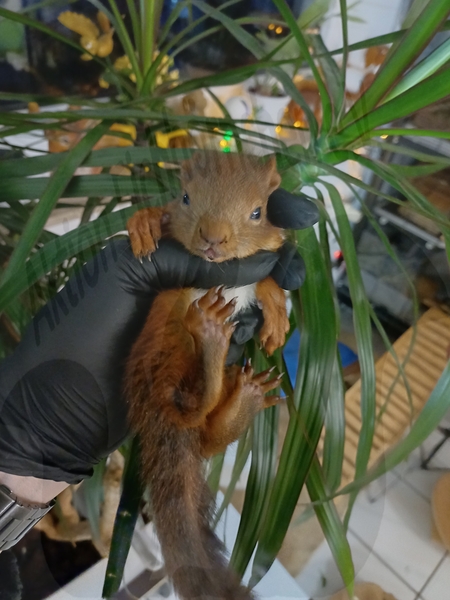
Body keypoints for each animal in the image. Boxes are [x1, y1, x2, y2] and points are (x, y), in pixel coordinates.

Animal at [125, 152, 290, 600]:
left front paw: (276, 316)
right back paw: (211, 335)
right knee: (196, 407)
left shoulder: (265, 254)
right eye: (185, 197)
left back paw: (244, 393)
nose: (213, 238)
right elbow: (157, 218)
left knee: (207, 428)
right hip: (162, 343)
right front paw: (146, 223)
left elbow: (269, 276)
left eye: (258, 211)